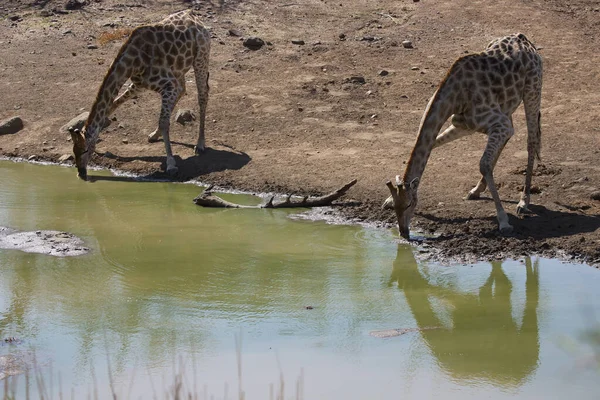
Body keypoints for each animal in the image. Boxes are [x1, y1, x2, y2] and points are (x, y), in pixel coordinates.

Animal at [69, 9, 211, 180]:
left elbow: (164, 121)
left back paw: (200, 144)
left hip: (201, 57)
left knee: (202, 95)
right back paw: (155, 134)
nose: (81, 173)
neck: (133, 62)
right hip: (179, 69)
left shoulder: (168, 85)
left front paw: (171, 164)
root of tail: (193, 15)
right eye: (73, 150)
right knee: (183, 90)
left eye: (84, 150)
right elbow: (114, 104)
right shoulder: (140, 85)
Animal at [384, 33, 544, 238]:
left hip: (532, 88)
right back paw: (477, 190)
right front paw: (388, 199)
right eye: (396, 207)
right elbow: (434, 144)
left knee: (531, 141)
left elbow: (483, 164)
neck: (454, 96)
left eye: (410, 204)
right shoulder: (464, 125)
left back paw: (523, 201)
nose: (404, 232)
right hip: (506, 106)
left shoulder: (498, 123)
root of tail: (524, 39)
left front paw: (503, 221)